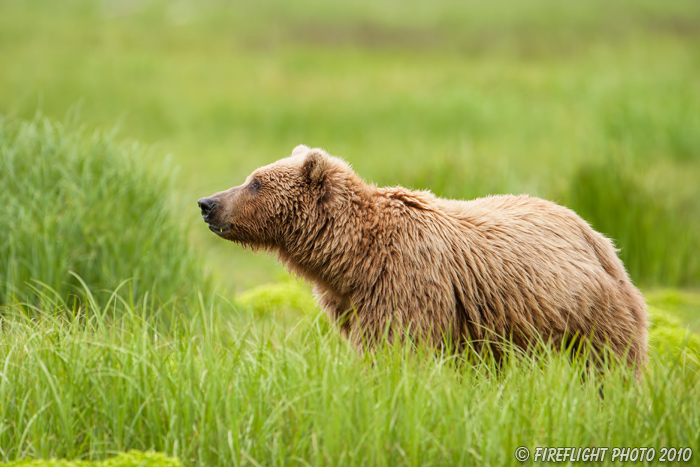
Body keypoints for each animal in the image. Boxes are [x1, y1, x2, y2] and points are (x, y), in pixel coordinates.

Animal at [200, 147, 648, 376]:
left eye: (255, 182)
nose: (208, 203)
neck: (352, 259)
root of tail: (597, 236)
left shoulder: (406, 283)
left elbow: (398, 347)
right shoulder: (351, 301)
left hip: (585, 312)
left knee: (608, 365)